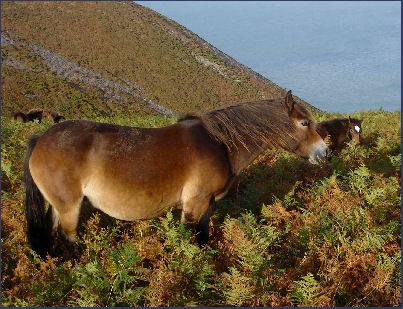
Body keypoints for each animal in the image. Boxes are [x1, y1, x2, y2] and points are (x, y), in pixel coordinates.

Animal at [23, 90, 330, 256]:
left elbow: (202, 237)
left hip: (57, 207)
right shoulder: (194, 203)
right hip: (70, 208)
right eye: (304, 123)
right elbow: (188, 239)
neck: (220, 144)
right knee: (69, 238)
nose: (324, 153)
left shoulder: (208, 206)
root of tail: (40, 139)